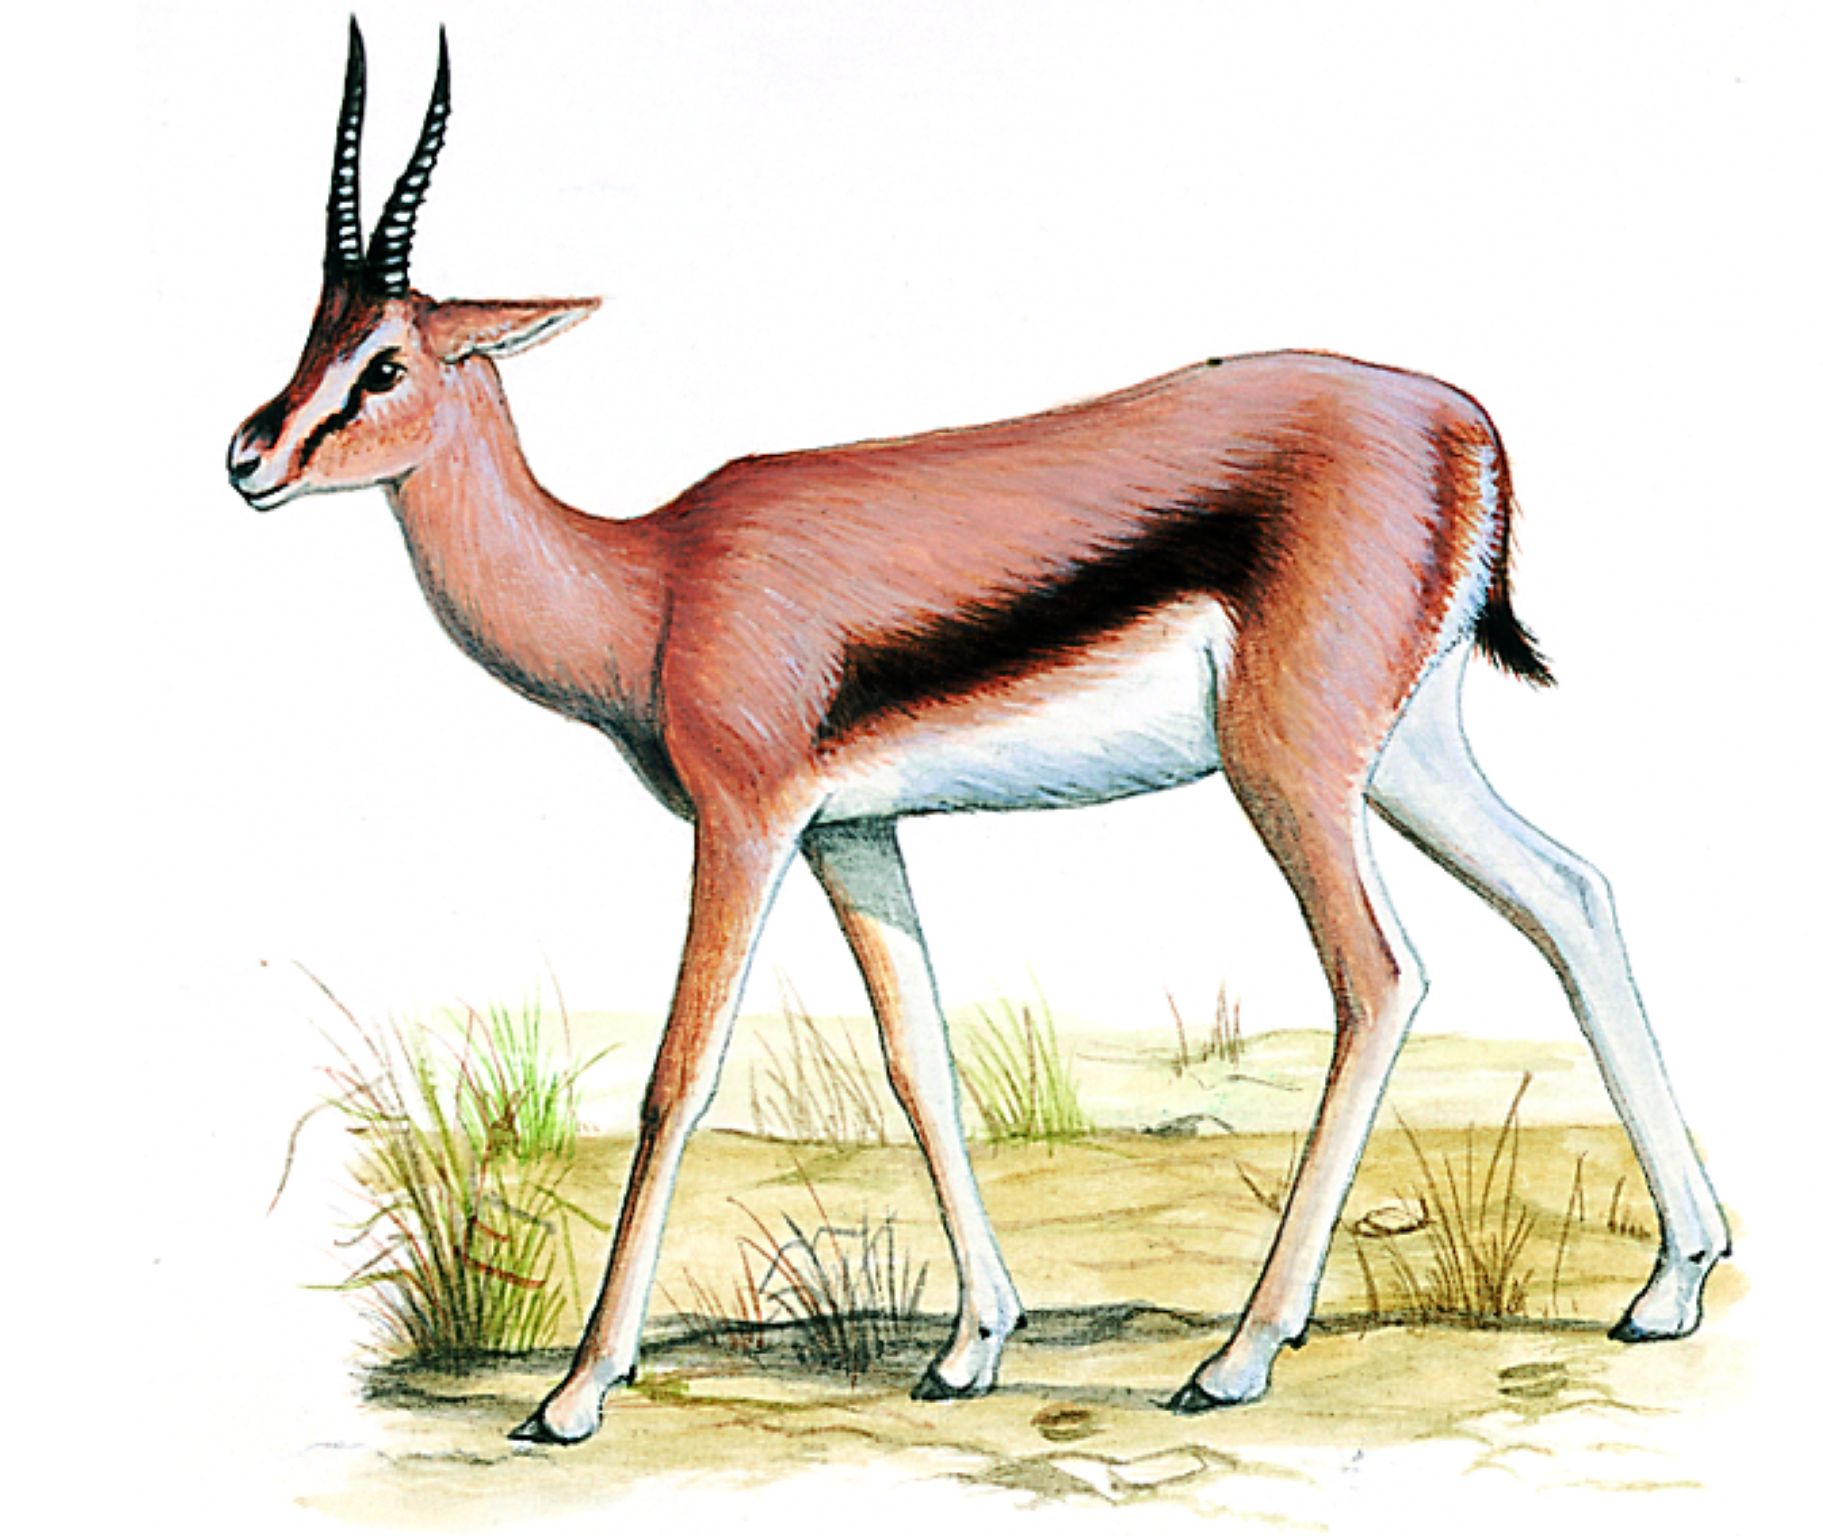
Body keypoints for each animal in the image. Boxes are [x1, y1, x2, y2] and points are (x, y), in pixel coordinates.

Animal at [229, 23, 1729, 1446]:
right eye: (310, 338)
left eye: (384, 363)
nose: (249, 456)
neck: (650, 584)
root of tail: (1462, 424)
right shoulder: (852, 832)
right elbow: (920, 1063)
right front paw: (969, 1349)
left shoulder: (745, 820)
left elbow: (677, 1075)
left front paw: (576, 1392)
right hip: (1407, 754)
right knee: (1568, 895)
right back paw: (1668, 1285)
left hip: (1288, 771)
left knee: (1378, 977)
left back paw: (1237, 1357)